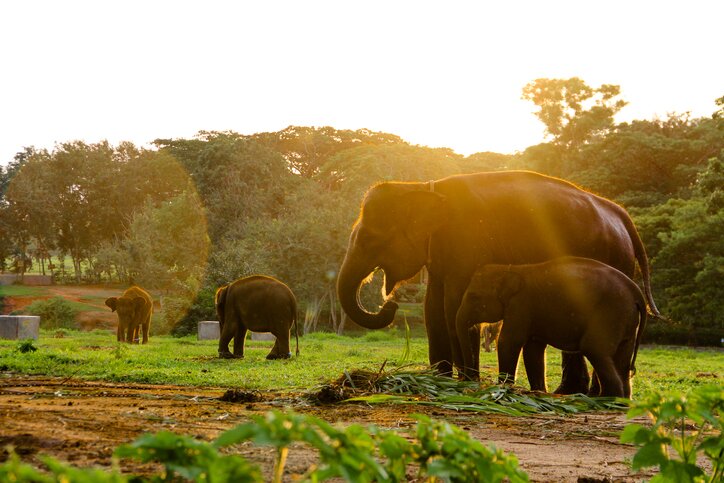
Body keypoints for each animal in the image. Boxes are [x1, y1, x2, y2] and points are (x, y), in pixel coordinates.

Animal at [455, 257, 647, 397]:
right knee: (621, 358)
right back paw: (622, 401)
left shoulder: (520, 305)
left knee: (594, 349)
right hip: (627, 321)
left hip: (610, 313)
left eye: (474, 297)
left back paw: (606, 399)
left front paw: (503, 388)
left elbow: (509, 342)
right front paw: (538, 392)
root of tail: (636, 292)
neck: (511, 268)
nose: (468, 381)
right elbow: (533, 349)